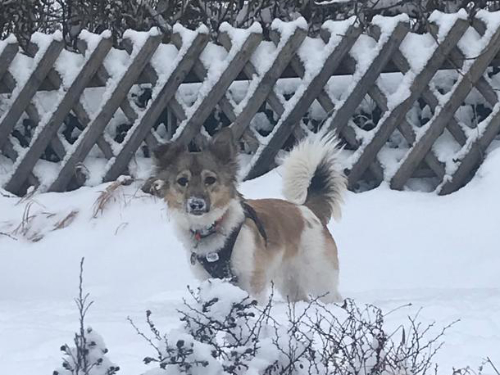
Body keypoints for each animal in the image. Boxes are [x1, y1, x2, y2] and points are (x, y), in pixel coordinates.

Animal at [153, 129, 348, 306]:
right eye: (182, 181)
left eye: (210, 179)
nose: (196, 204)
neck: (212, 227)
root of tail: (306, 209)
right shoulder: (210, 281)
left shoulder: (252, 279)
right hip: (289, 280)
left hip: (318, 275)